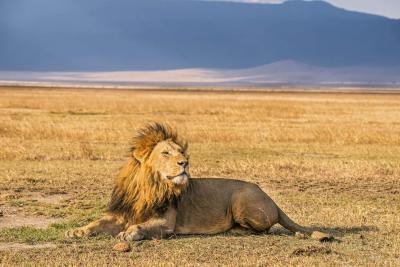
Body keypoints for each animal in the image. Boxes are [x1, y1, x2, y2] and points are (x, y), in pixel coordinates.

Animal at [66, 123, 328, 243]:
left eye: (181, 152)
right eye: (166, 153)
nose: (185, 163)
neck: (150, 187)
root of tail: (271, 198)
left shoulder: (166, 223)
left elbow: (141, 227)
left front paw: (130, 233)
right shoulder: (121, 213)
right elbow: (96, 223)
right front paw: (76, 230)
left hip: (241, 200)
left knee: (262, 229)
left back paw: (235, 230)